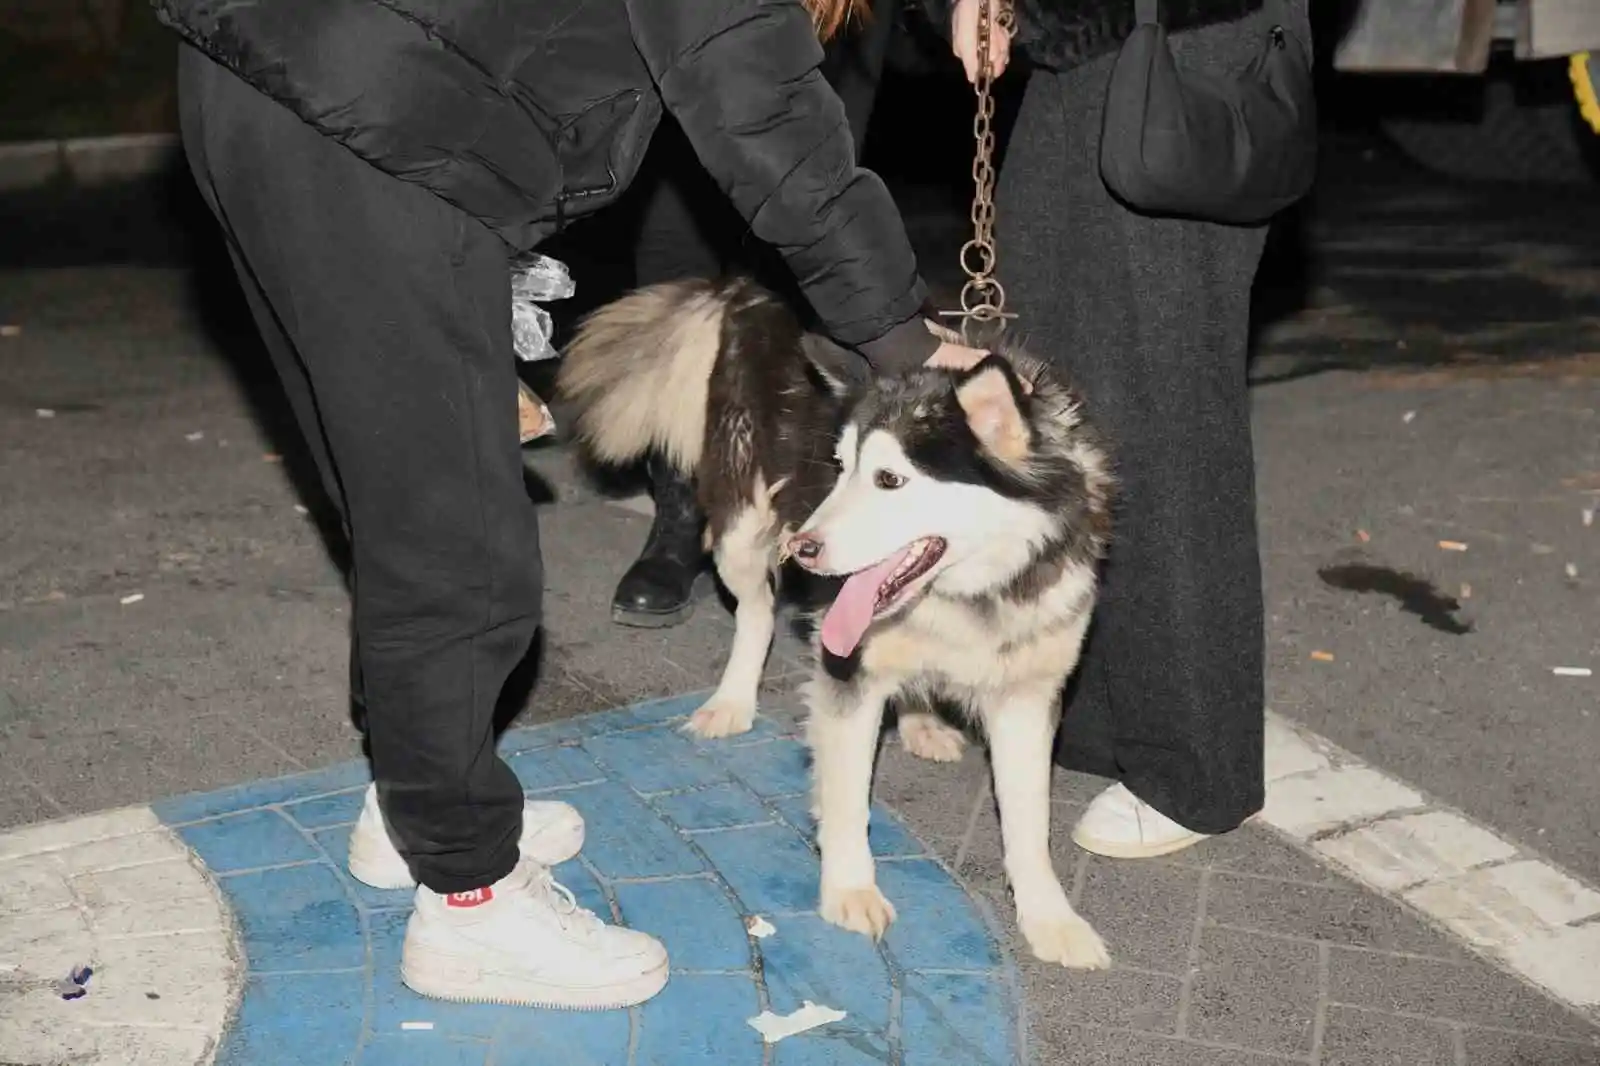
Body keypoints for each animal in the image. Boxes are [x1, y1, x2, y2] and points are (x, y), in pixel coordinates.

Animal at [553, 278, 1113, 966]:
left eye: (890, 479)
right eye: (839, 467)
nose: (804, 549)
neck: (973, 589)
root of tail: (742, 284)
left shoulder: (1028, 696)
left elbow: (1029, 822)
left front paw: (1050, 918)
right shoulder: (847, 669)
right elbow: (848, 797)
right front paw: (849, 888)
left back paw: (921, 721)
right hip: (742, 524)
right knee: (756, 612)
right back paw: (732, 701)